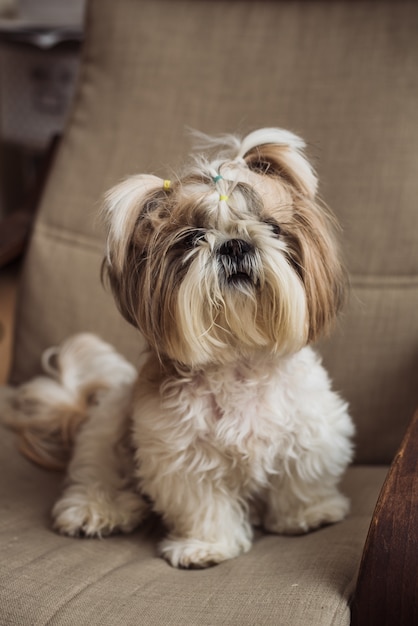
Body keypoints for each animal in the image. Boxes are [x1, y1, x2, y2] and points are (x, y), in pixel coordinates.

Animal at [1, 127, 354, 564]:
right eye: (192, 239)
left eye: (272, 228)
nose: (234, 244)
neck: (237, 358)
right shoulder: (180, 455)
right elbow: (204, 504)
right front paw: (206, 545)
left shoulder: (312, 429)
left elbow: (302, 477)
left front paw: (309, 514)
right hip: (107, 427)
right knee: (95, 473)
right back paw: (97, 509)